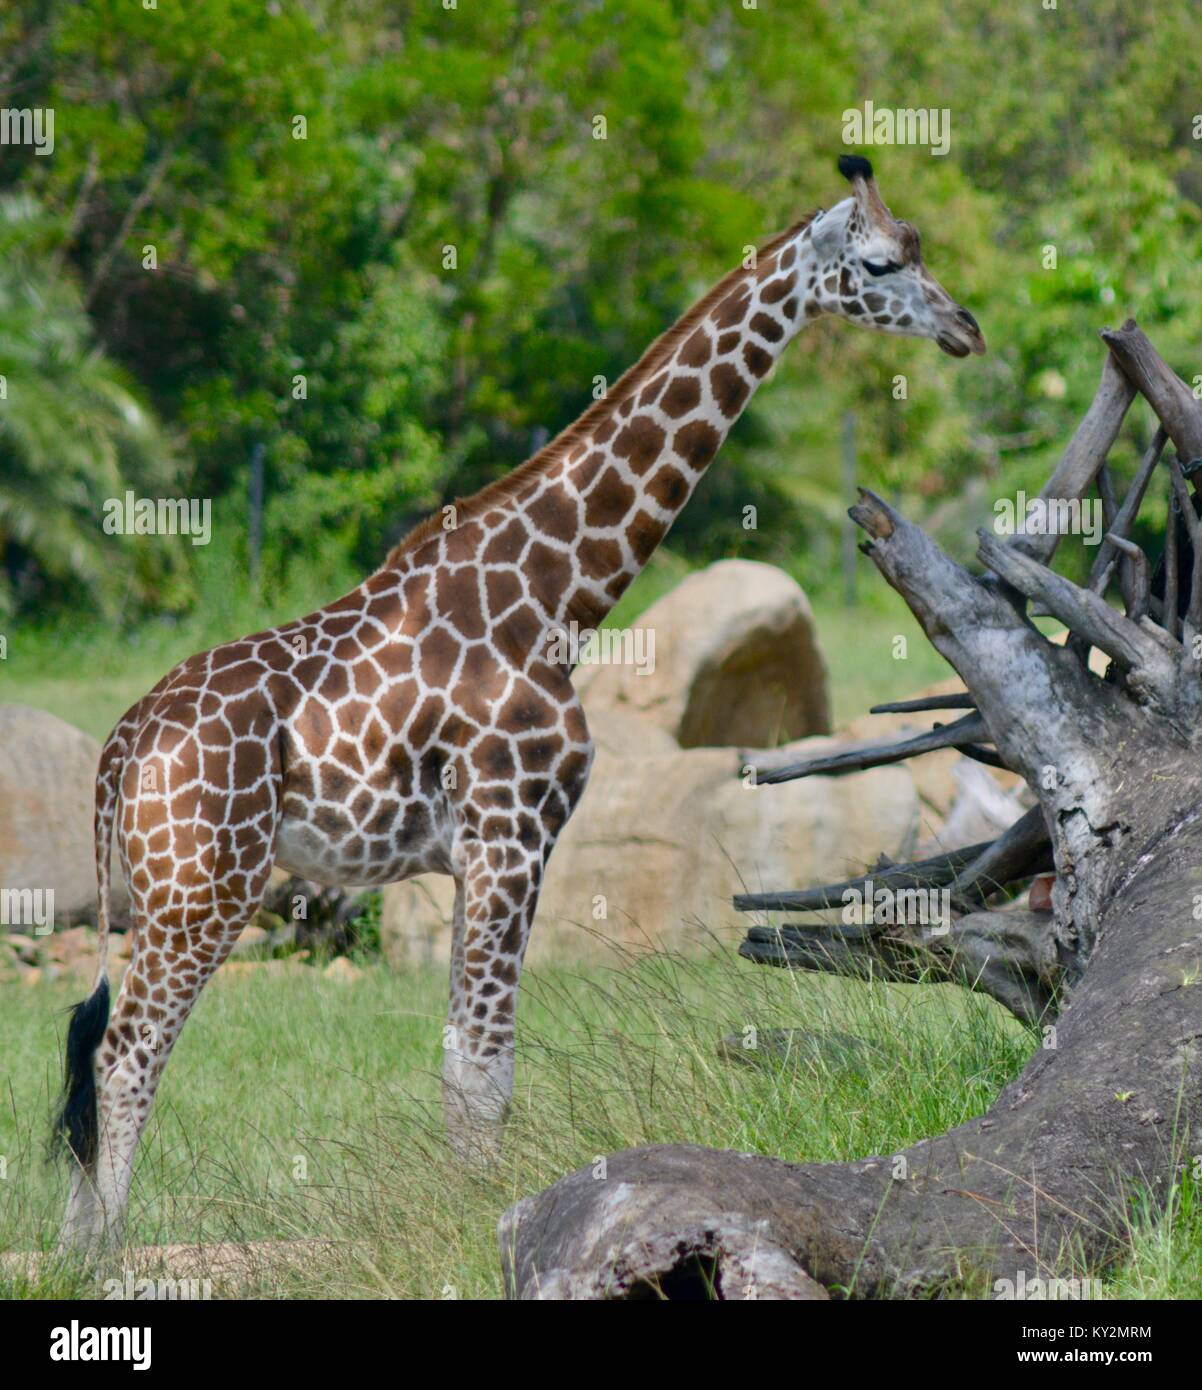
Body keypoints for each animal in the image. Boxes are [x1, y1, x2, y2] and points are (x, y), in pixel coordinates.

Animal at [51, 154, 978, 1251]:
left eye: (918, 246)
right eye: (880, 262)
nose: (964, 328)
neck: (556, 595)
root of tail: (124, 741)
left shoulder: (468, 854)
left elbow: (462, 1061)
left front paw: (464, 1212)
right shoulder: (513, 831)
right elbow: (485, 1068)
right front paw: (476, 1224)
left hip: (167, 887)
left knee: (90, 1046)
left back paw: (70, 1248)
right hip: (207, 884)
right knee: (126, 1052)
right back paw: (108, 1249)